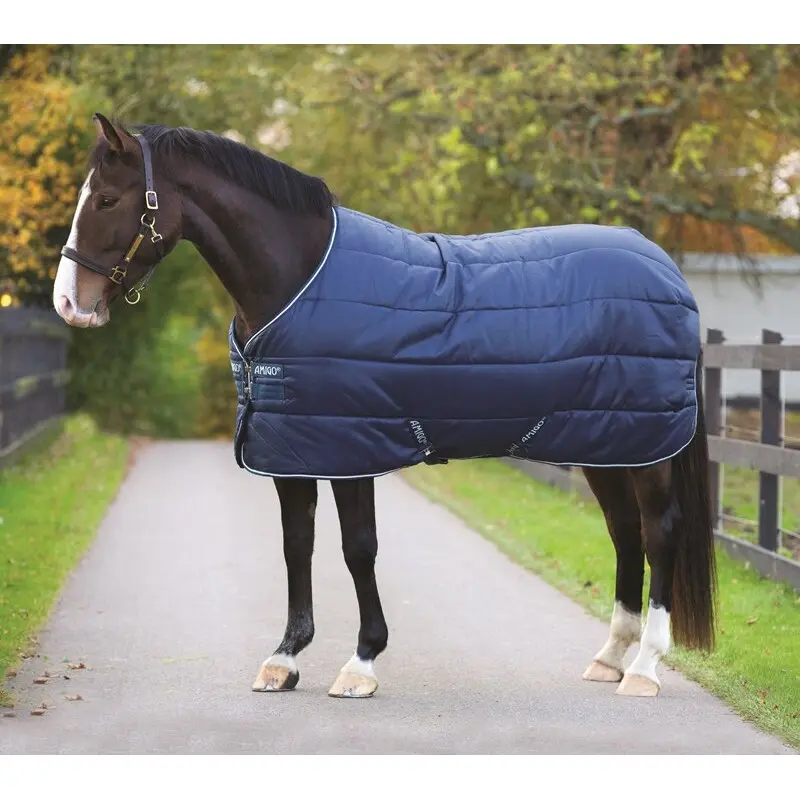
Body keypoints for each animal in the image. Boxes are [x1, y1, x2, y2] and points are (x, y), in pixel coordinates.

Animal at [52, 113, 717, 700]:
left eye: (106, 200)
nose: (69, 303)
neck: (299, 282)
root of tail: (667, 269)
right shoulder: (293, 451)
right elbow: (297, 546)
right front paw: (285, 659)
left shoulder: (352, 449)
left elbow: (358, 550)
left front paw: (361, 663)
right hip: (609, 444)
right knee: (625, 533)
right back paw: (610, 658)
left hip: (649, 450)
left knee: (659, 533)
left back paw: (645, 668)